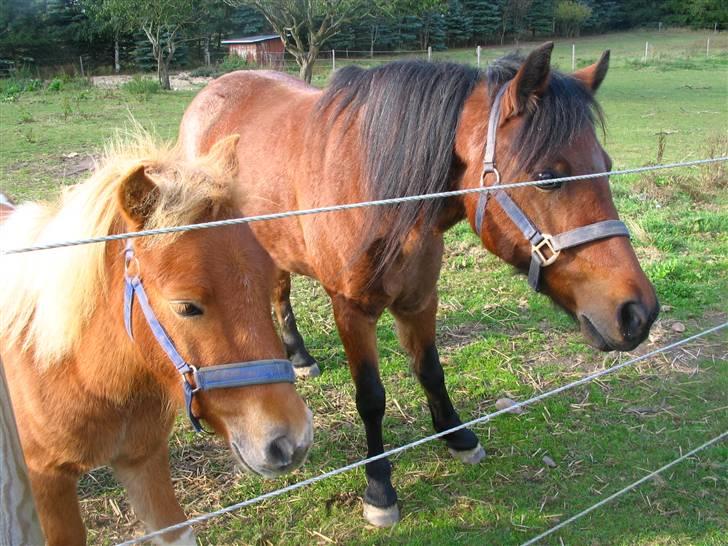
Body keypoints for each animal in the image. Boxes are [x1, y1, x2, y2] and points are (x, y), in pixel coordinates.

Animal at [181, 44, 660, 524]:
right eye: (548, 177)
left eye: (607, 166)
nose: (639, 312)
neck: (379, 191)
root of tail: (213, 90)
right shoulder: (352, 311)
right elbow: (371, 397)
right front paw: (379, 487)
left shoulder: (420, 300)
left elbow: (430, 370)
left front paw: (457, 437)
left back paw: (297, 354)